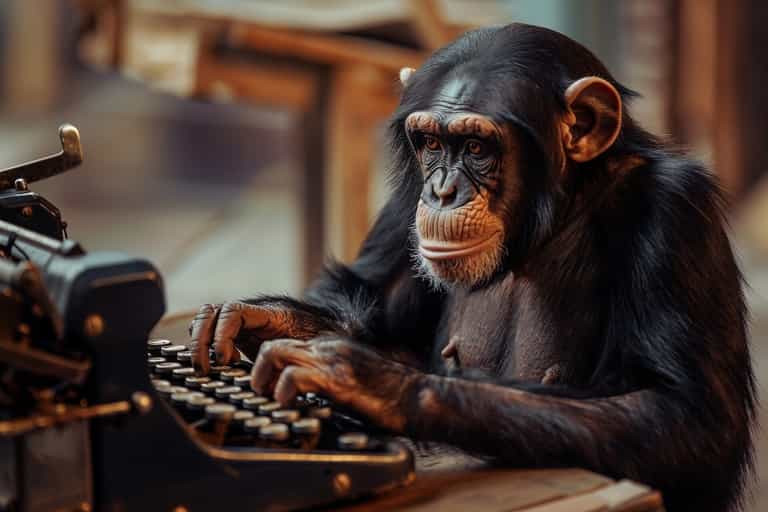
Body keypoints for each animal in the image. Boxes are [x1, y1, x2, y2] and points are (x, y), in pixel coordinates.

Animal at [189, 24, 755, 512]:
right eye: (432, 143)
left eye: (478, 147)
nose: (441, 191)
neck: (554, 216)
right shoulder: (406, 199)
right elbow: (376, 312)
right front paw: (261, 319)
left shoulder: (676, 212)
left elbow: (678, 416)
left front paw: (364, 380)